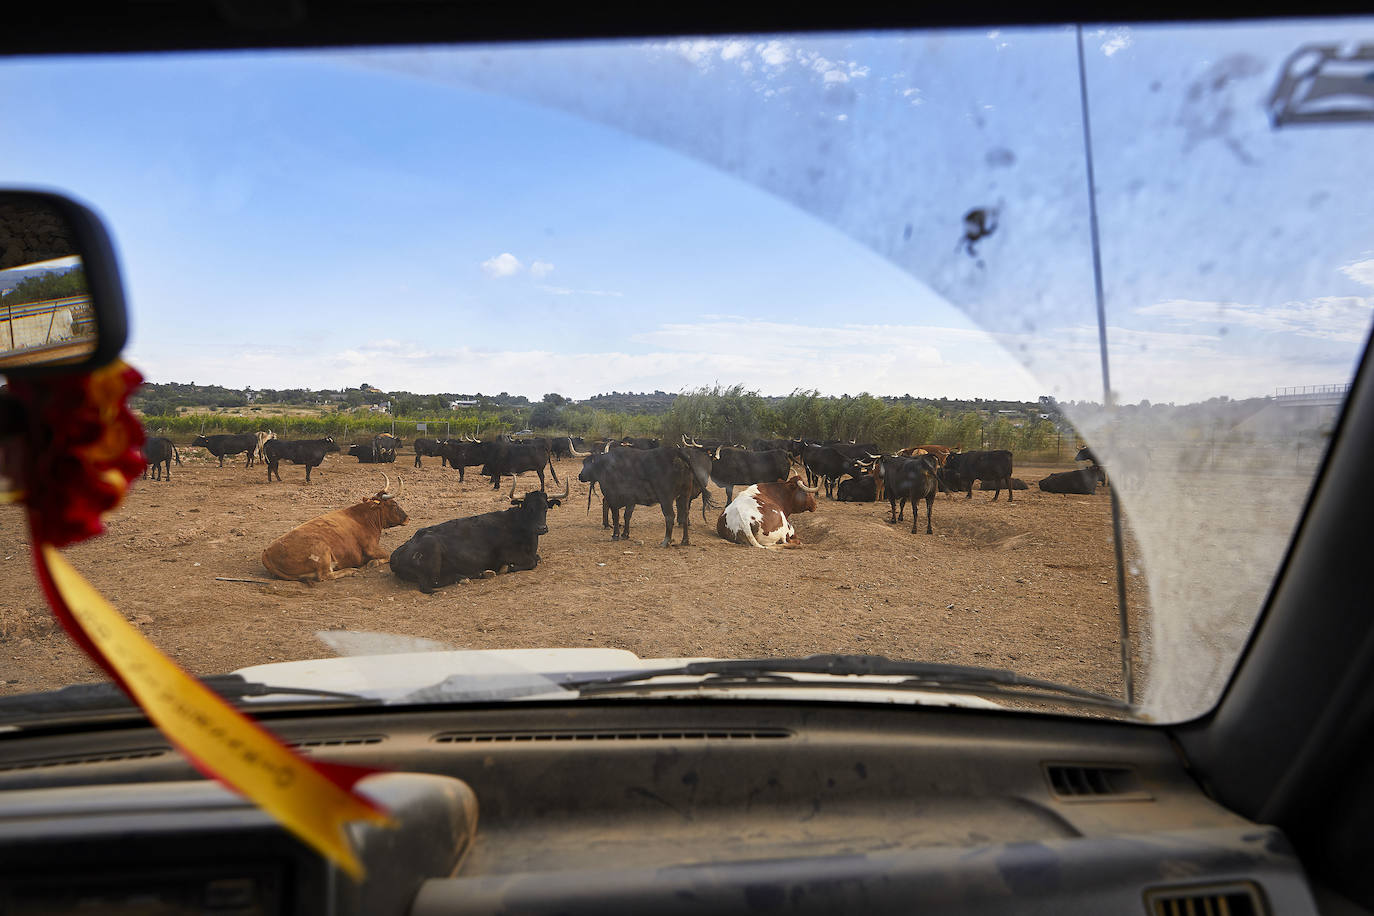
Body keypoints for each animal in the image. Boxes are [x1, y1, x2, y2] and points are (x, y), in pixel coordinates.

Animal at [259, 477, 403, 585]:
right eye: (394, 504)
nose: (407, 517)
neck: (364, 518)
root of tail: (266, 552)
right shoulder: (371, 548)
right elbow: (388, 555)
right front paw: (373, 563)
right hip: (322, 550)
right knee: (325, 575)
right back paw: (350, 570)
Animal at [387, 480, 568, 596]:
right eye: (529, 508)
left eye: (545, 508)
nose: (541, 528)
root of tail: (397, 553)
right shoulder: (507, 554)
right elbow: (532, 562)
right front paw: (507, 568)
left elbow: (537, 558)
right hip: (432, 557)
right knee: (430, 584)